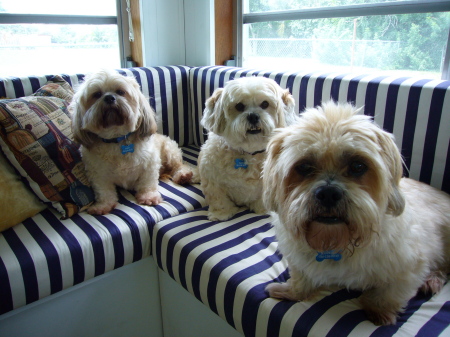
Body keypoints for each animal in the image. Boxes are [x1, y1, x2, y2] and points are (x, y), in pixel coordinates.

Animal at [70, 69, 192, 214]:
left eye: (120, 92)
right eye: (97, 94)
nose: (109, 97)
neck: (116, 139)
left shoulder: (150, 164)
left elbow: (147, 183)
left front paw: (148, 196)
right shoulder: (97, 173)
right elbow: (104, 191)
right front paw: (103, 205)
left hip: (169, 150)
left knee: (178, 166)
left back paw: (183, 175)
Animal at [198, 76, 298, 220]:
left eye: (265, 104)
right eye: (239, 106)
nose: (253, 116)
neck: (249, 153)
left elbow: (262, 198)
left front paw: (262, 209)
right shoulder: (212, 180)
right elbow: (219, 199)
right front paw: (221, 214)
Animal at [262, 101, 450, 324]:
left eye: (358, 166)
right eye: (304, 167)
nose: (328, 193)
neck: (337, 242)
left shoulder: (410, 268)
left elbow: (390, 293)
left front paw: (378, 311)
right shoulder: (298, 261)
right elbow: (301, 277)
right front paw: (293, 291)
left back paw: (433, 279)